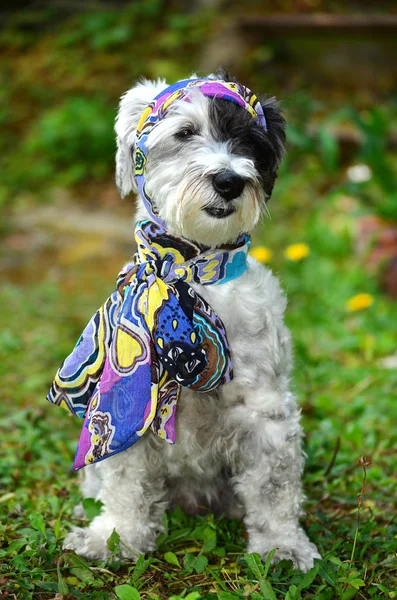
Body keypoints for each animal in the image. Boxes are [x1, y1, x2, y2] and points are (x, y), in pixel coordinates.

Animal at [62, 70, 322, 572]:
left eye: (249, 142)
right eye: (184, 133)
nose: (229, 180)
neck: (192, 275)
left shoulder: (266, 414)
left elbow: (274, 489)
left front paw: (282, 545)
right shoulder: (129, 413)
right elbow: (127, 485)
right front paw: (117, 537)